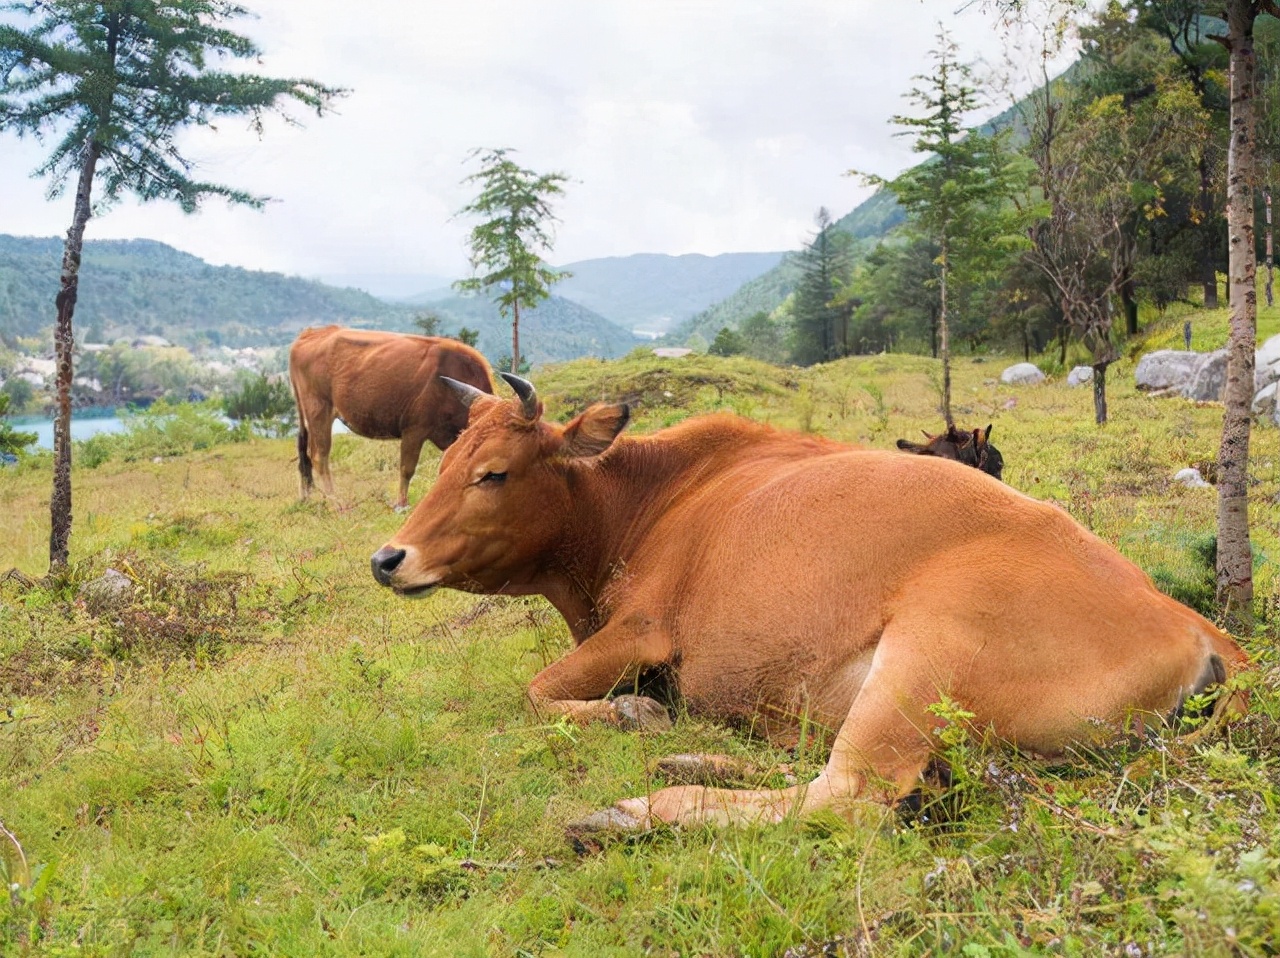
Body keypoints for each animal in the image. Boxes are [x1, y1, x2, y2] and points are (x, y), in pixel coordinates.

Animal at [290, 325, 494, 509]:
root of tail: (312, 333)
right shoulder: (414, 429)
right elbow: (407, 469)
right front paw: (402, 504)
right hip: (318, 410)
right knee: (319, 457)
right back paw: (337, 503)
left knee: (305, 455)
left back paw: (306, 498)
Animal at [371, 373, 1249, 840]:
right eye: (443, 461)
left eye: (493, 472)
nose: (387, 557)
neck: (650, 498)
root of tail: (1192, 620)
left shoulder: (640, 631)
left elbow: (536, 693)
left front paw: (631, 716)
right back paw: (695, 759)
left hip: (925, 654)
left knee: (849, 795)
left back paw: (639, 807)